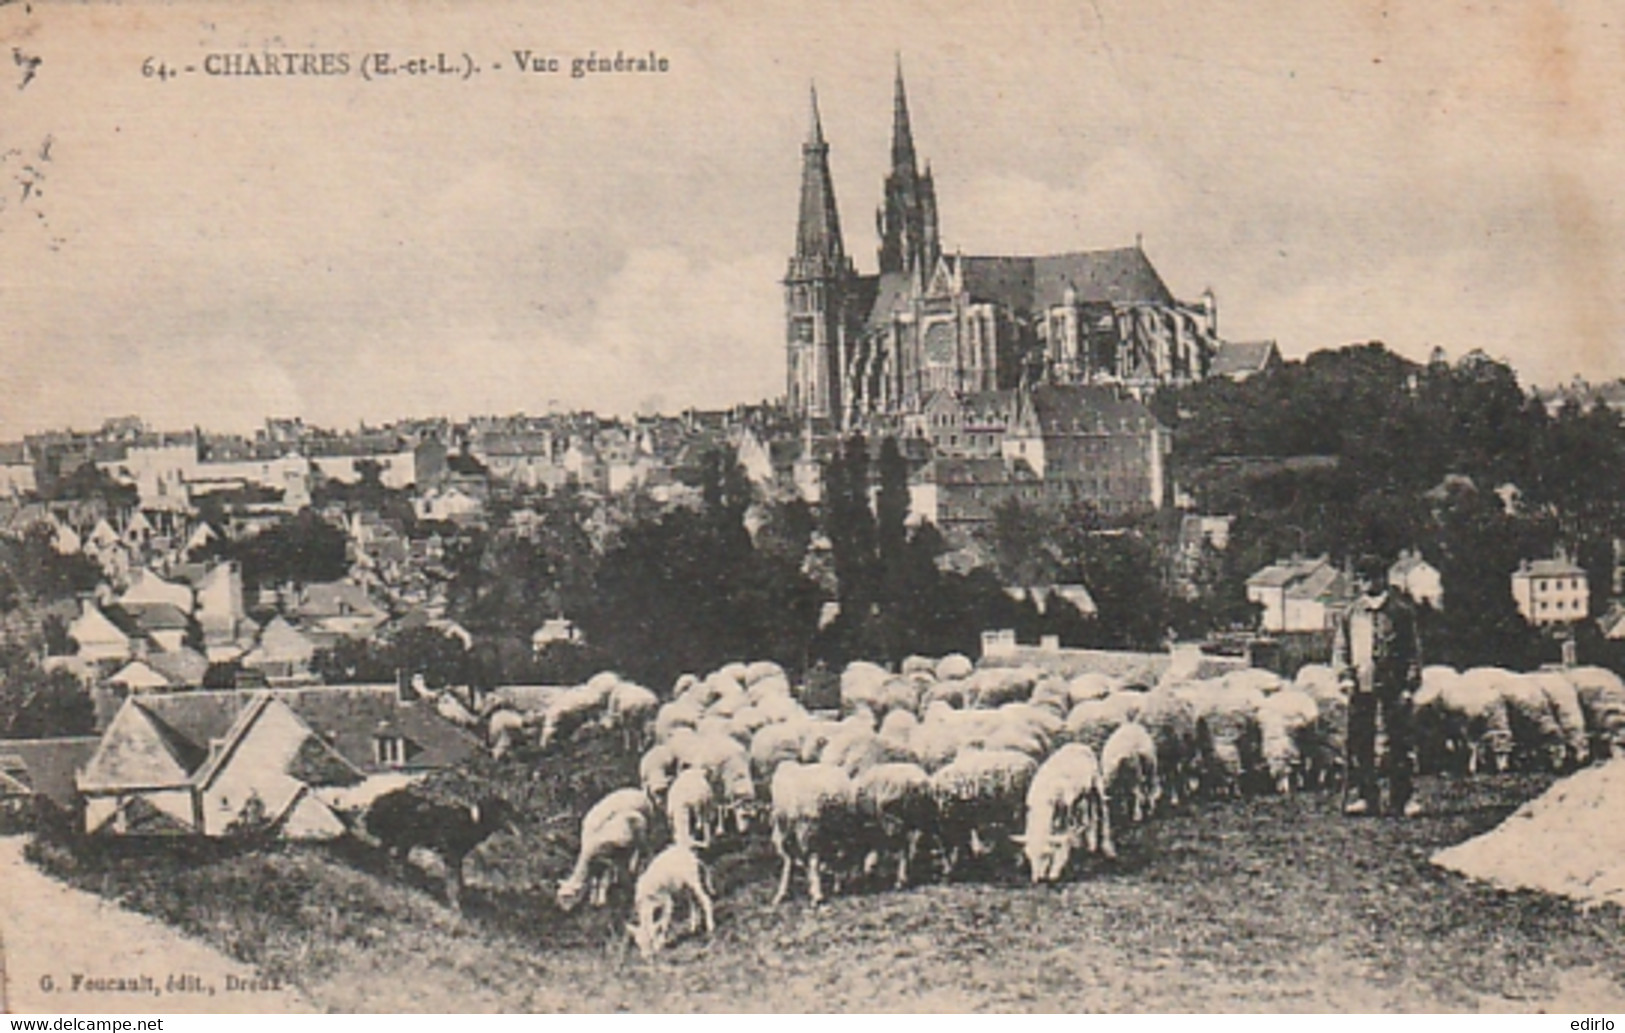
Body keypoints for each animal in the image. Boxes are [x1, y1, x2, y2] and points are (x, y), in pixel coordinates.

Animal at [767, 760, 858, 903]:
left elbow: (795, 859)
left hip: (815, 828)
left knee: (819, 857)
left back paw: (820, 893)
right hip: (838, 828)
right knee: (839, 854)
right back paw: (833, 886)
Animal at [1007, 743, 1111, 877]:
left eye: (1046, 854)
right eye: (1029, 855)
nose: (1037, 879)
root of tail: (1077, 744)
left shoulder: (1063, 813)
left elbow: (1063, 837)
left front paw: (1055, 871)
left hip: (1096, 783)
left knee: (1103, 810)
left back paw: (1107, 848)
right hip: (1081, 796)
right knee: (1087, 816)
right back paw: (1088, 843)